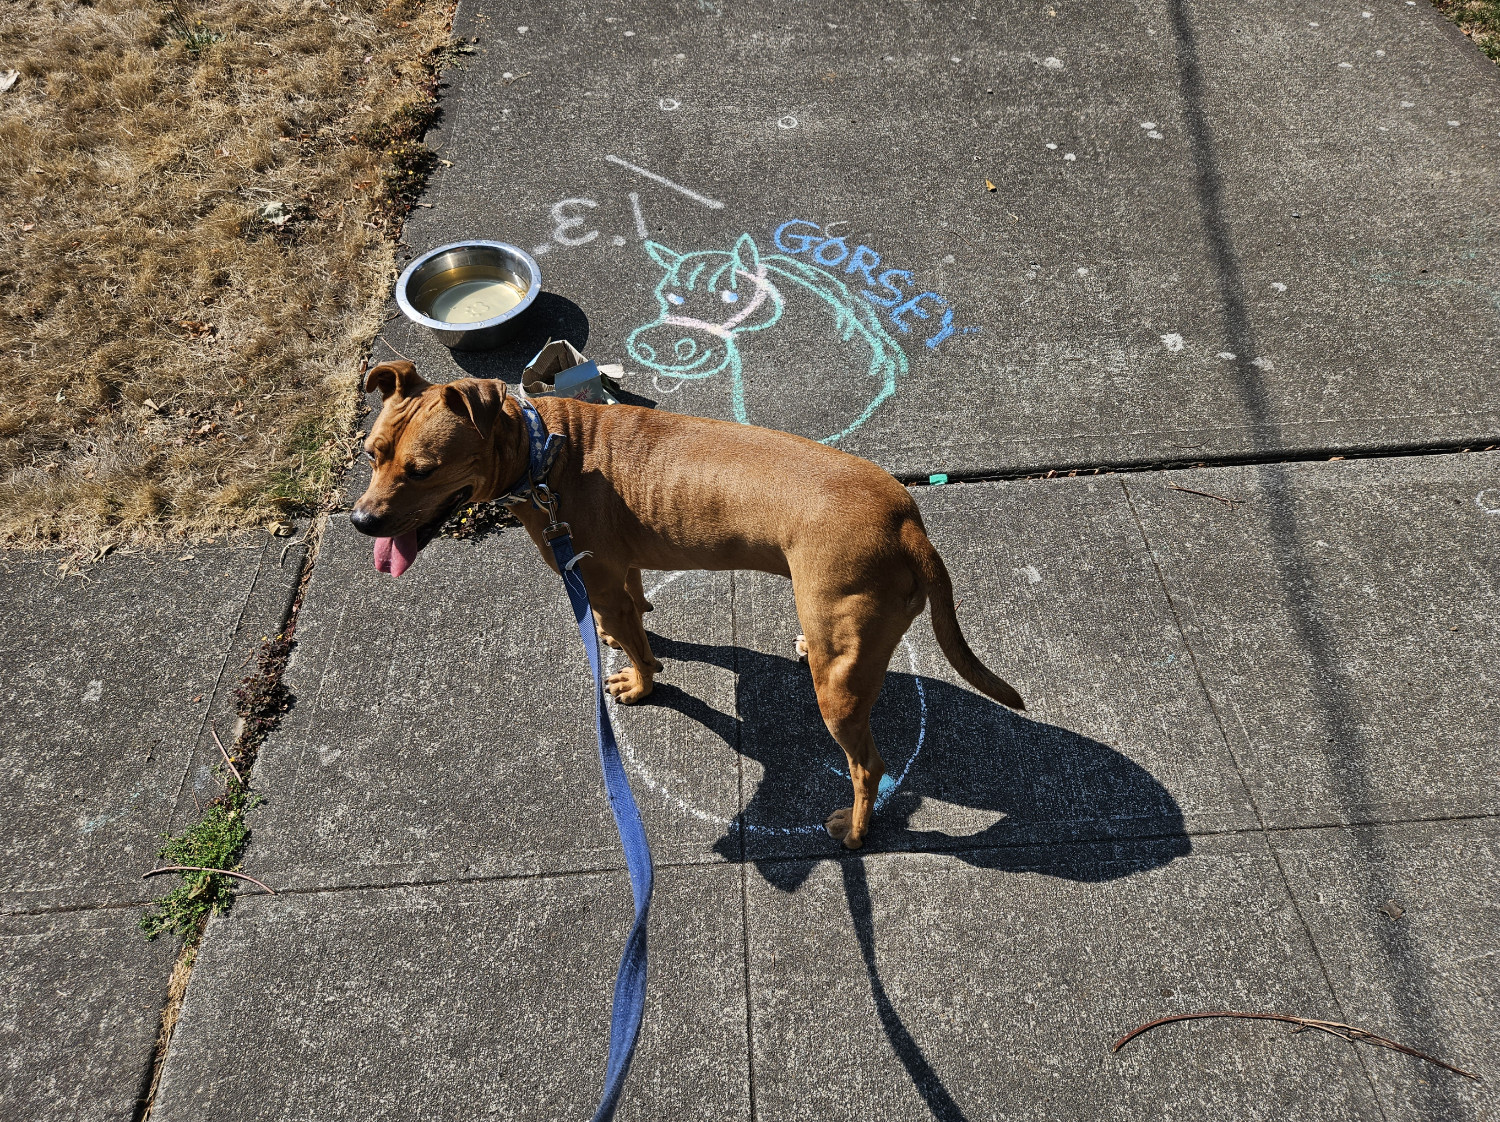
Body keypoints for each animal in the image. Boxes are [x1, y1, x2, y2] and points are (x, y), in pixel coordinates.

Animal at [354, 364, 1020, 846]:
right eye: (372, 453)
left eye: (423, 469)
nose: (361, 522)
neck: (543, 453)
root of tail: (908, 522)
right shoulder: (619, 572)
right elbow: (634, 614)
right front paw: (624, 636)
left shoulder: (598, 579)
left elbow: (640, 651)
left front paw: (640, 683)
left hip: (841, 688)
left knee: (868, 768)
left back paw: (854, 833)